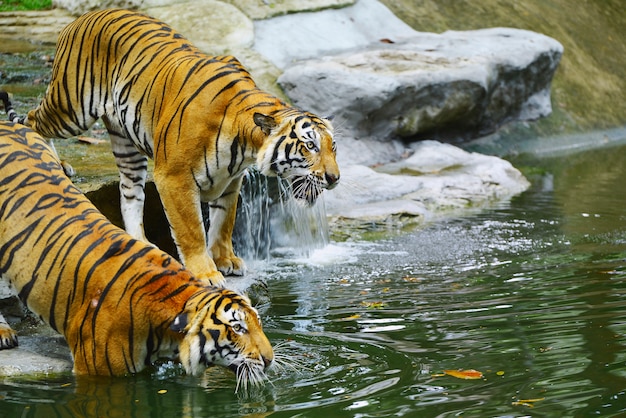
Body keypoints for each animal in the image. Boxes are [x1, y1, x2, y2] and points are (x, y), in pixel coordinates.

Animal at [1, 7, 342, 288]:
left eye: (333, 147)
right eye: (310, 145)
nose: (335, 179)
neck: (245, 146)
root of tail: (81, 18)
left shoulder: (232, 180)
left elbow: (224, 222)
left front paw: (226, 259)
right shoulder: (174, 177)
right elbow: (192, 230)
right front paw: (206, 272)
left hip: (125, 142)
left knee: (130, 194)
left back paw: (142, 244)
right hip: (71, 106)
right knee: (32, 119)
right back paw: (51, 161)